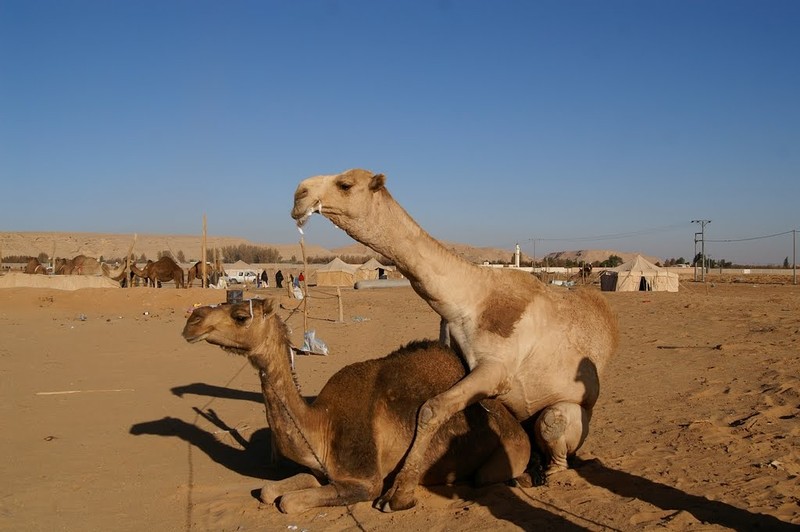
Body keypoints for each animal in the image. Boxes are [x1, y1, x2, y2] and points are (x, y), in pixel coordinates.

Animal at [181, 298, 532, 512]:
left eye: (241, 316)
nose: (193, 319)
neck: (321, 425)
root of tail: (517, 427)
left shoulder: (364, 480)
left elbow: (288, 503)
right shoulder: (323, 472)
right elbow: (269, 492)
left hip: (507, 455)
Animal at [294, 167, 620, 512]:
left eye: (345, 184)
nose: (299, 194)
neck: (472, 300)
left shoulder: (496, 369)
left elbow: (431, 410)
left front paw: (397, 495)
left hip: (573, 418)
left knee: (554, 426)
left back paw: (545, 474)